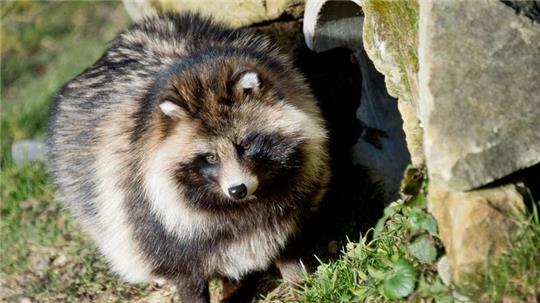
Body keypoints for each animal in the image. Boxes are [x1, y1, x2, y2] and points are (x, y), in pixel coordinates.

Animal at [48, 13, 330, 302]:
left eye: (245, 145)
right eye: (210, 157)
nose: (237, 189)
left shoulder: (293, 192)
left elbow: (285, 239)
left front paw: (299, 281)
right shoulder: (152, 219)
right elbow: (186, 272)